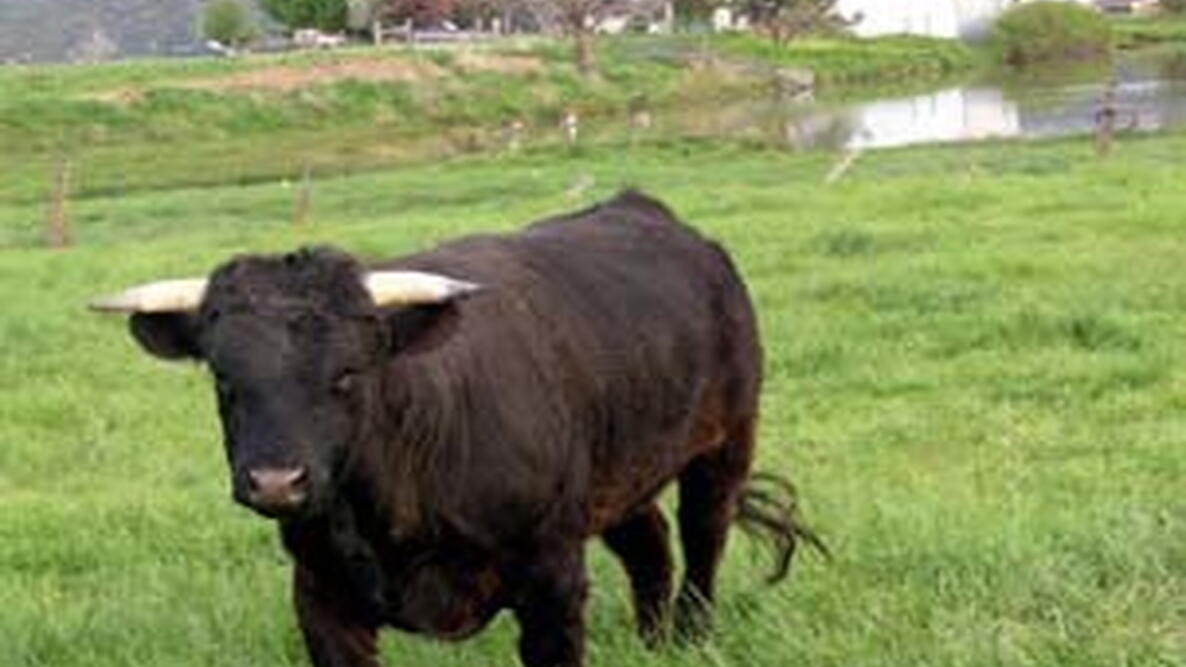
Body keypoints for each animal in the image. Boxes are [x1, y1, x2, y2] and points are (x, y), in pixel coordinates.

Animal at [91, 191, 821, 667]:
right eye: (223, 378)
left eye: (349, 373)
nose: (275, 481)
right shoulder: (321, 597)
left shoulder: (553, 581)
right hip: (619, 469)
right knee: (650, 545)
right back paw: (653, 643)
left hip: (726, 439)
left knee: (702, 537)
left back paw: (691, 637)